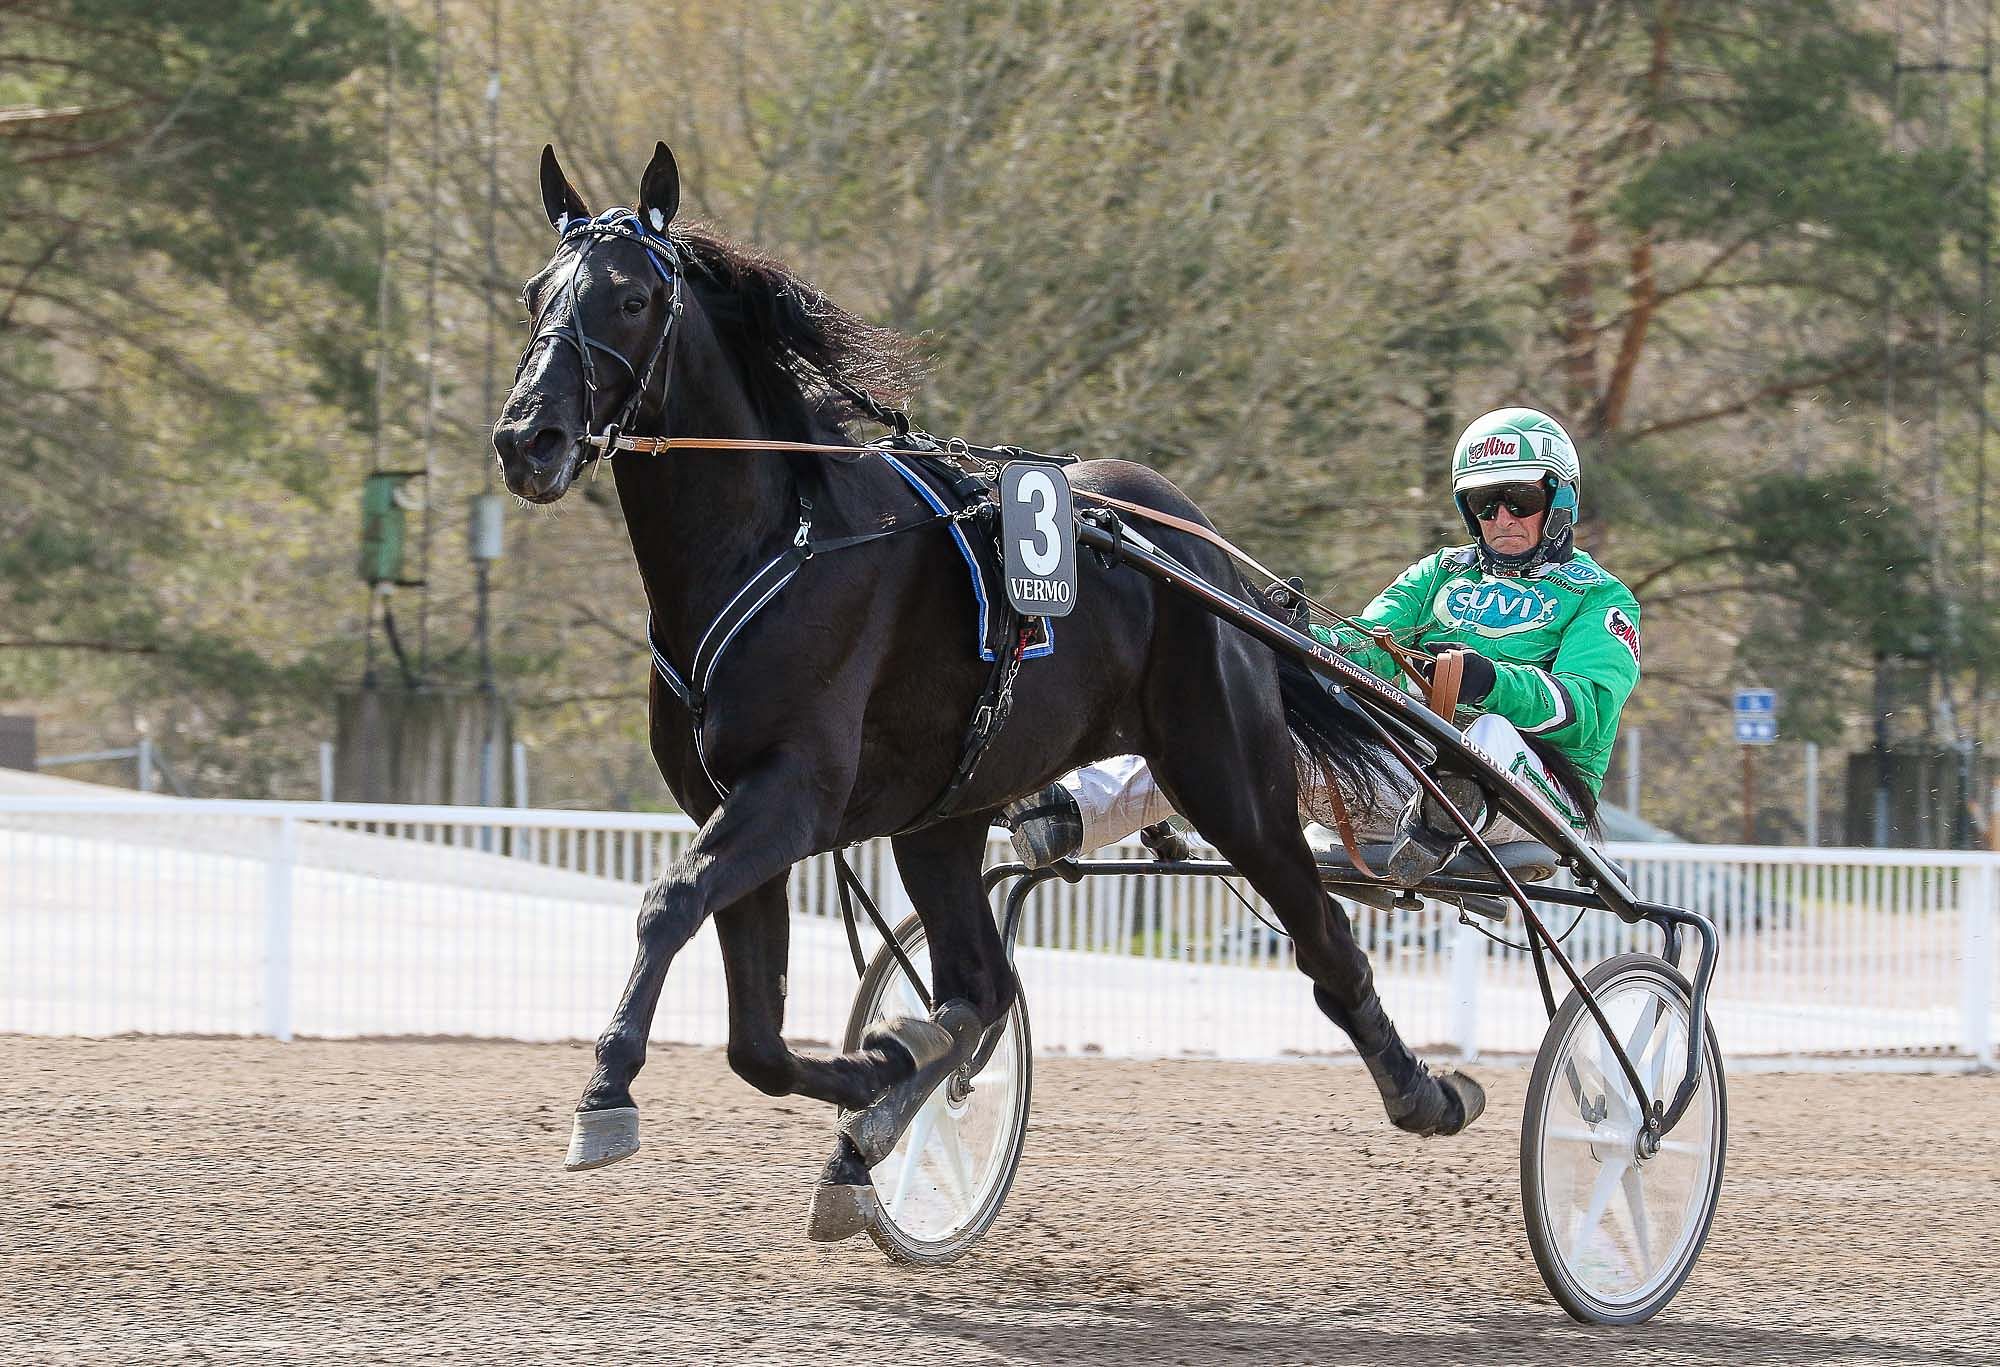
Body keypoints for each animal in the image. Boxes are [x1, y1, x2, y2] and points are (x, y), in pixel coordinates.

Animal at [488, 141, 1488, 1239]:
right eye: (536, 292)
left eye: (628, 296)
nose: (527, 438)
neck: (777, 542)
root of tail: (1196, 545)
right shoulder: (736, 803)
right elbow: (756, 1036)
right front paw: (877, 1068)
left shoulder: (787, 797)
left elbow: (669, 904)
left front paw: (606, 1091)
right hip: (944, 813)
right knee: (981, 981)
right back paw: (894, 1098)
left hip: (1231, 779)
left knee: (1325, 940)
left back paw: (1424, 1090)